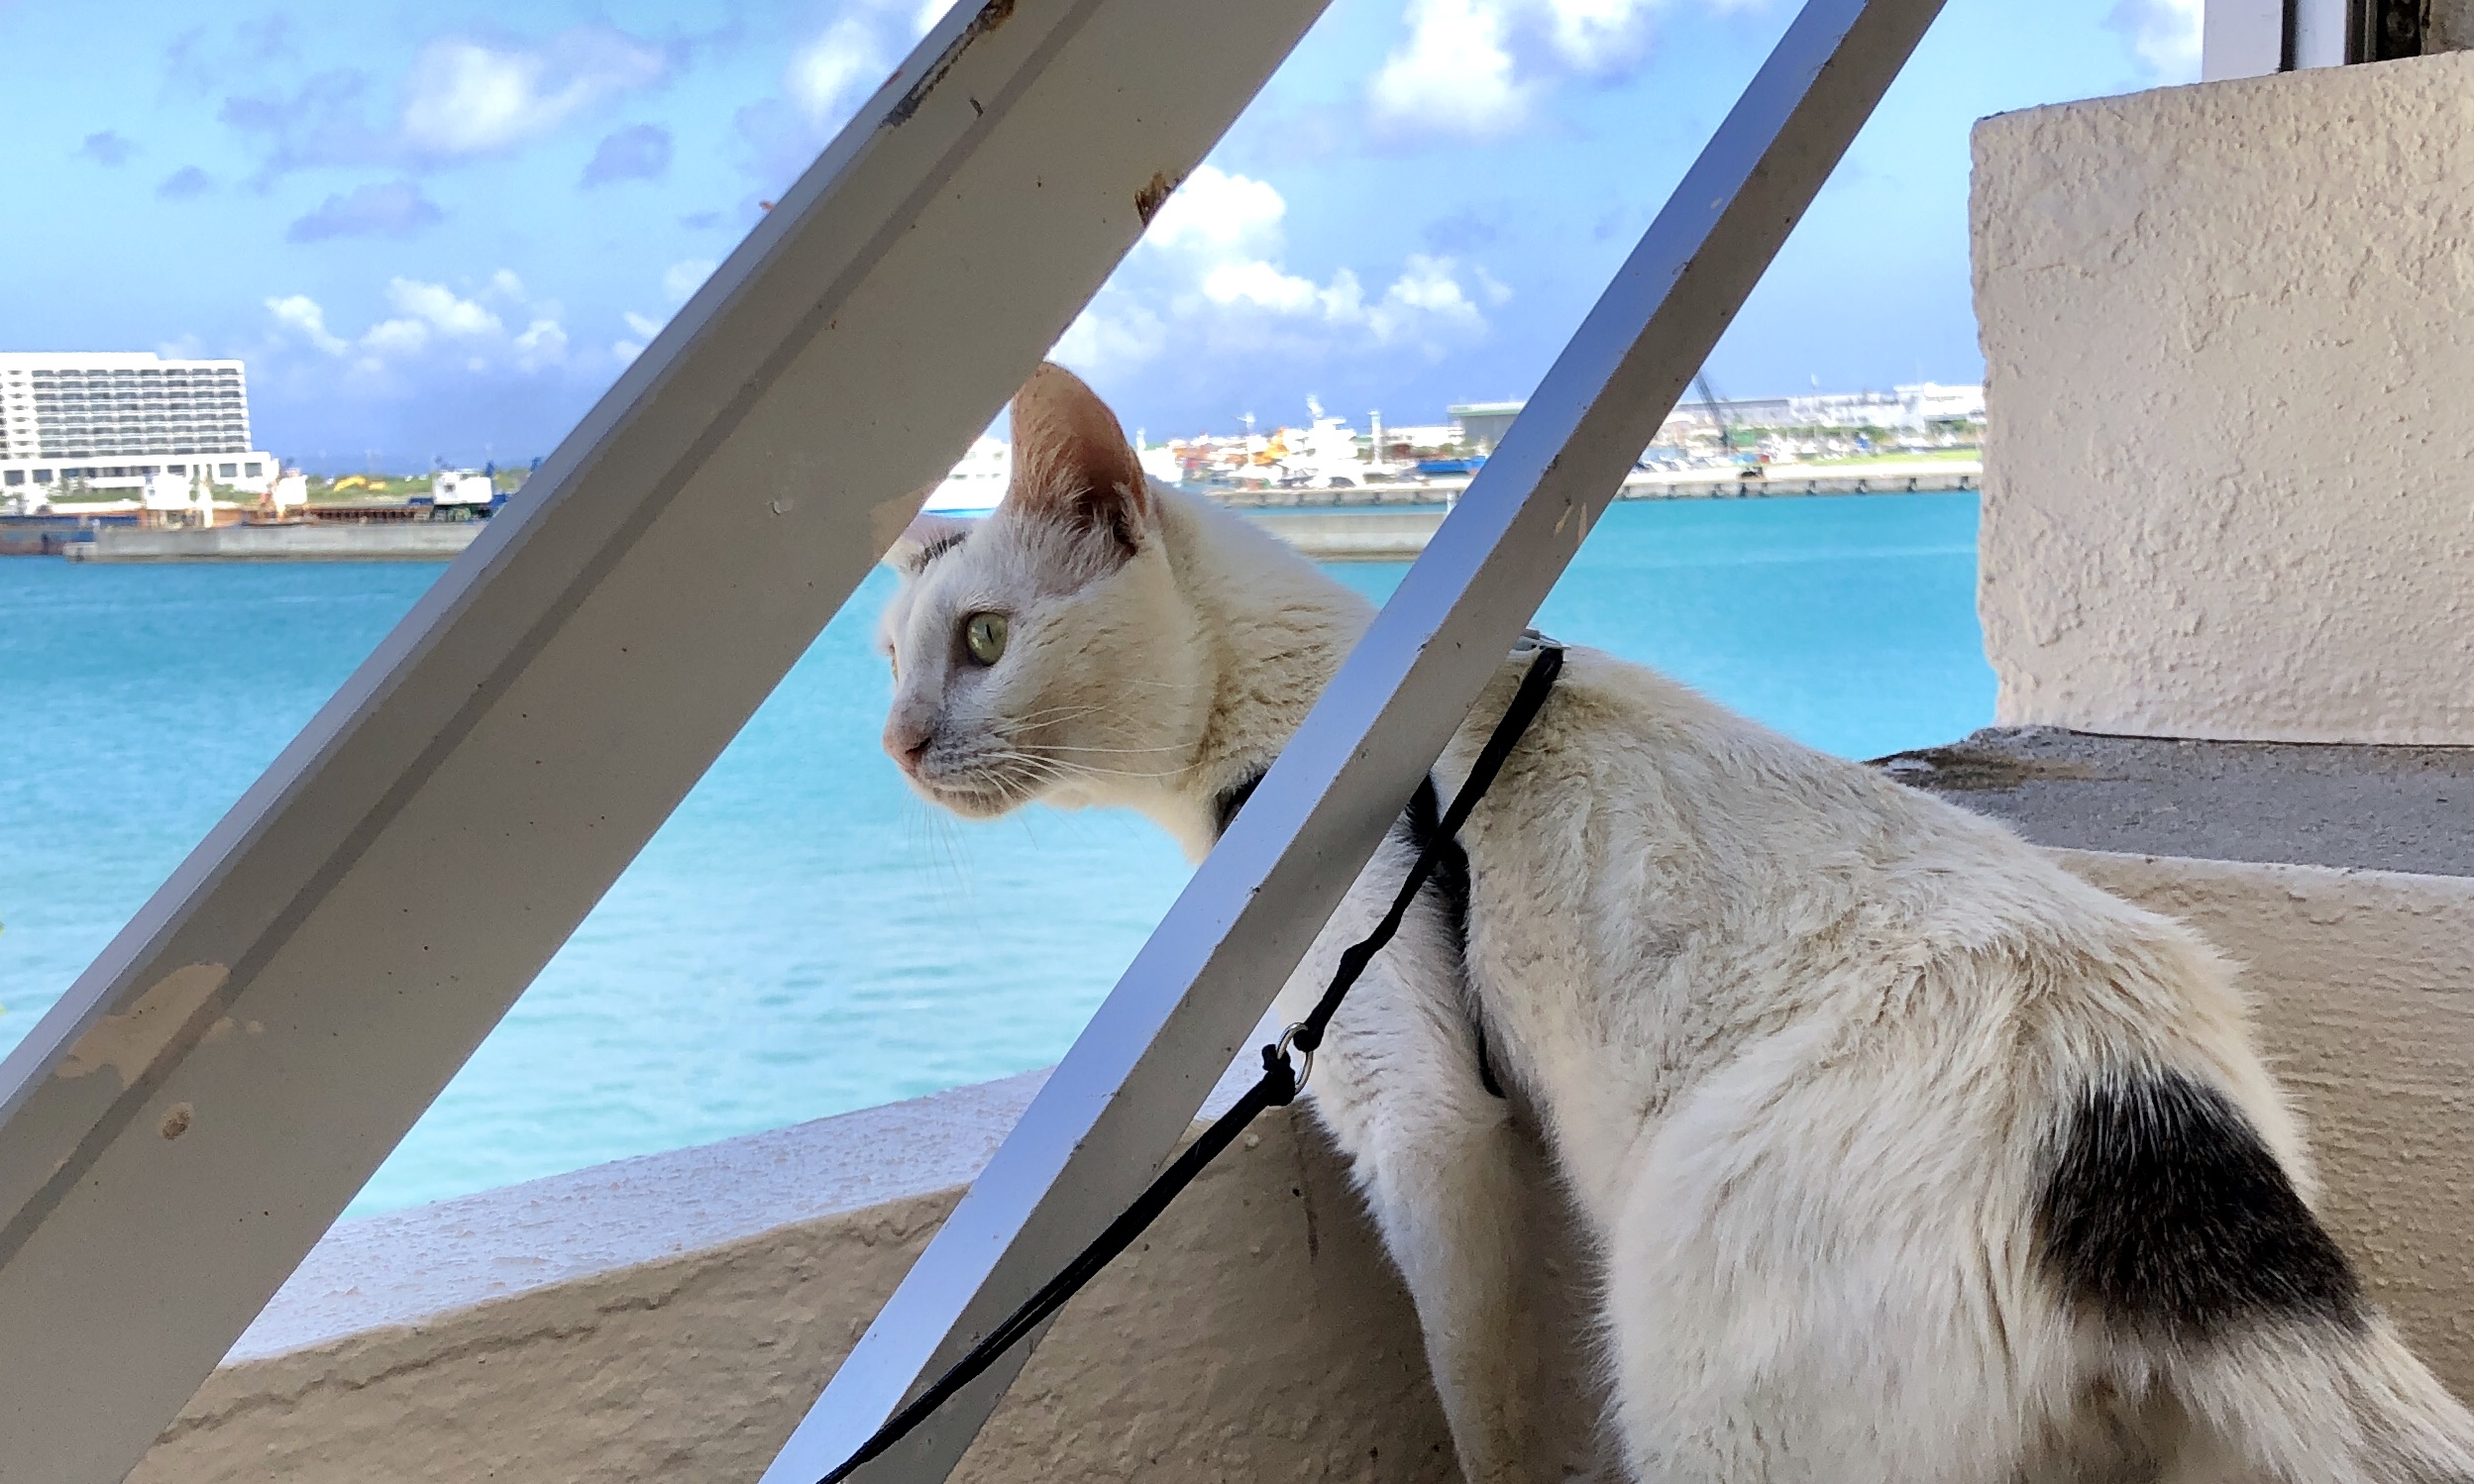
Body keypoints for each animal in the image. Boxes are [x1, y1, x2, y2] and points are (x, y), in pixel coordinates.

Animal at [876, 362, 2474, 1483]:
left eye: (983, 640)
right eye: (888, 655)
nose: (891, 743)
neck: (1321, 722)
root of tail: (2135, 1105)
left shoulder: (1418, 1108)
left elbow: (1481, 1392)